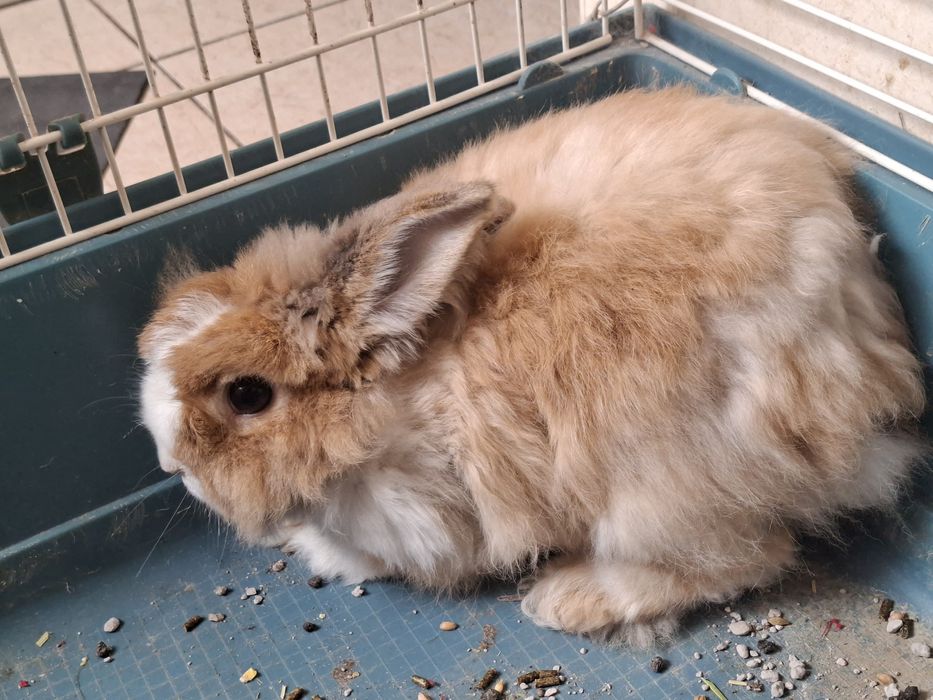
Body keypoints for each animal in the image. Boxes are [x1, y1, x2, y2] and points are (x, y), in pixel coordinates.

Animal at [138, 87, 925, 644]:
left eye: (247, 394)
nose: (173, 465)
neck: (403, 399)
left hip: (666, 496)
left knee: (752, 557)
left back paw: (568, 600)